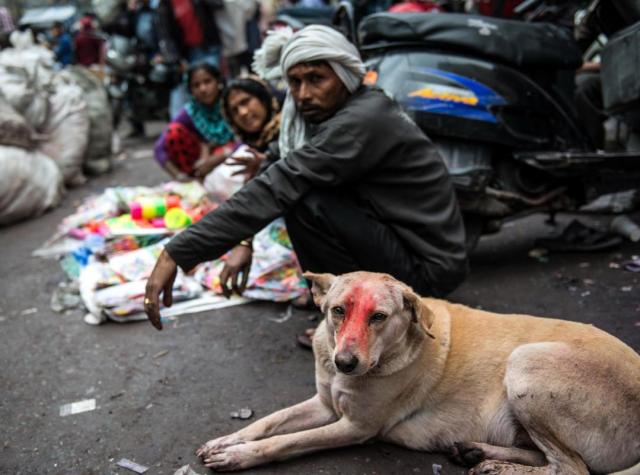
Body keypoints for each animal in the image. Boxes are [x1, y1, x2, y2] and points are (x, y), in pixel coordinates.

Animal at [195, 272, 640, 475]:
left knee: (572, 468)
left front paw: (239, 456)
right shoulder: (324, 404)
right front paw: (228, 440)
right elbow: (269, 423)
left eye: (378, 317)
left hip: (525, 364)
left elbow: (285, 441)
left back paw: (496, 466)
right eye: (337, 311)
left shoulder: (355, 427)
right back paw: (477, 452)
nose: (344, 363)